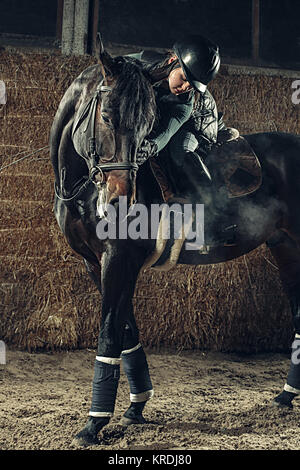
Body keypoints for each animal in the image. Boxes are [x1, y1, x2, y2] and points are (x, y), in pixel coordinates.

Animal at [49, 41, 300, 448]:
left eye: (145, 123)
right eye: (107, 116)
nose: (121, 199)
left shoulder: (119, 259)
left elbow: (109, 333)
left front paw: (94, 424)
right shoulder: (95, 262)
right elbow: (127, 331)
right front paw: (136, 407)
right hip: (287, 249)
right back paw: (285, 396)